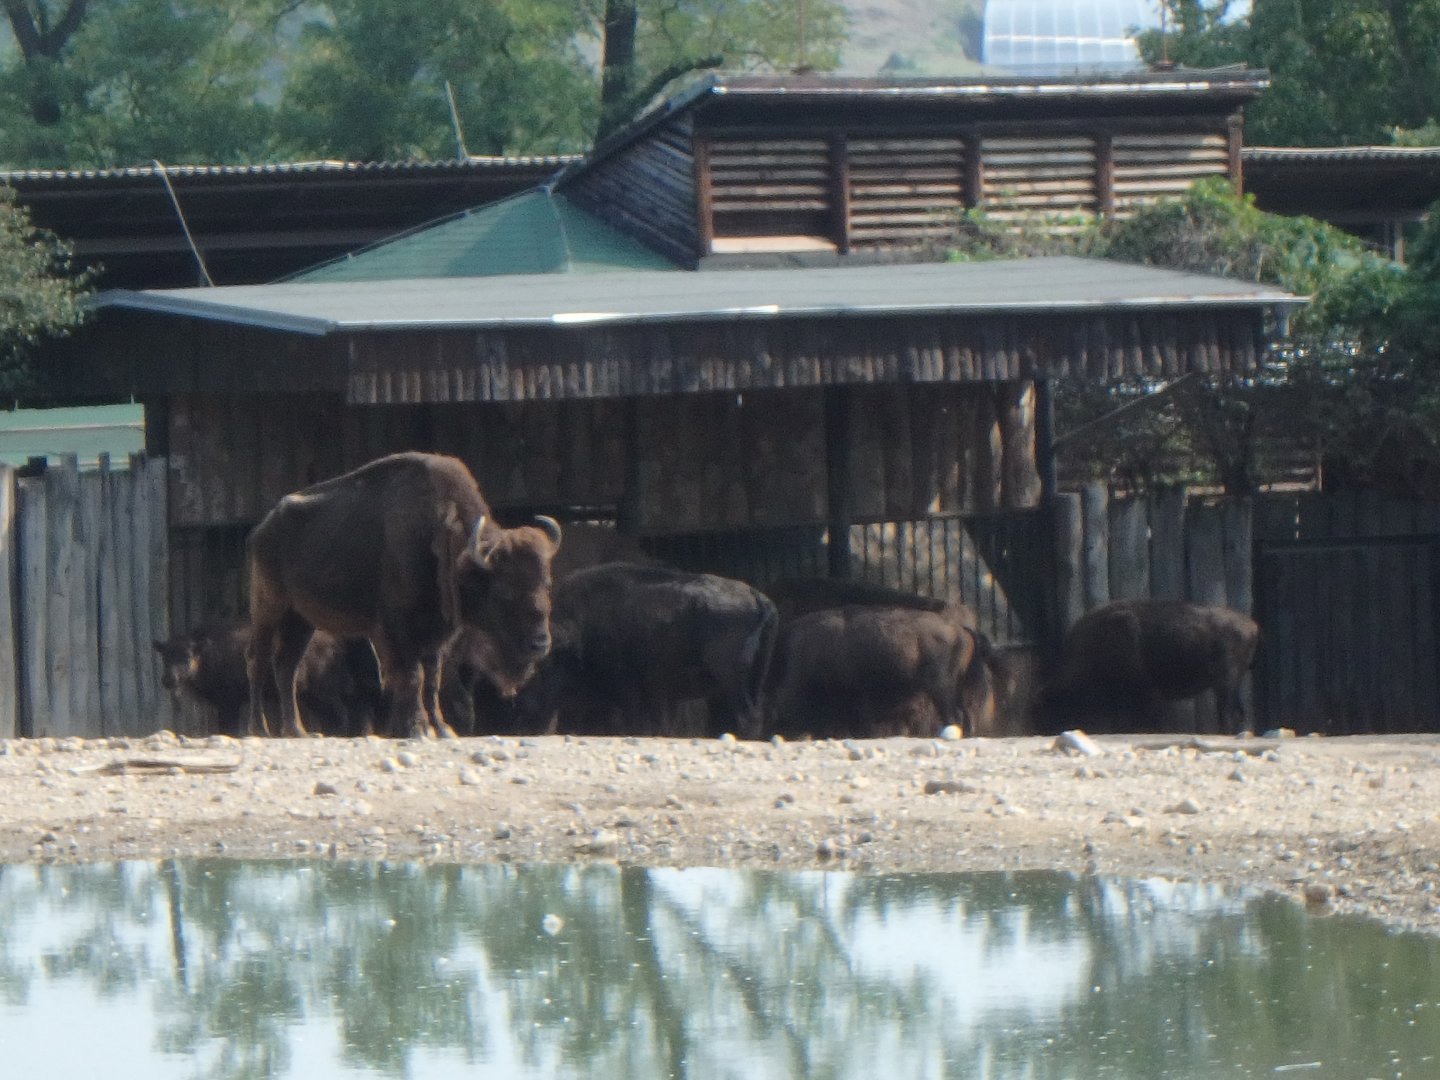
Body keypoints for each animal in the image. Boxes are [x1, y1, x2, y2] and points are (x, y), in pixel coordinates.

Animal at [245, 452, 561, 739]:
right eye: (504, 591)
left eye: (546, 584)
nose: (540, 643)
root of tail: (261, 530)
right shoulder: (399, 629)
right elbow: (413, 677)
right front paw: (416, 729)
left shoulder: (435, 634)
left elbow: (431, 680)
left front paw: (441, 730)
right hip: (269, 609)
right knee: (259, 663)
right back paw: (259, 730)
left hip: (301, 621)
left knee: (287, 667)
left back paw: (298, 731)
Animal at [1039, 599, 1260, 734]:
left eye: (1054, 705)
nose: (1044, 730)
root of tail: (1252, 626)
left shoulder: (1144, 691)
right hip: (1231, 682)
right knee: (1237, 710)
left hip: (1225, 681)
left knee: (1227, 710)